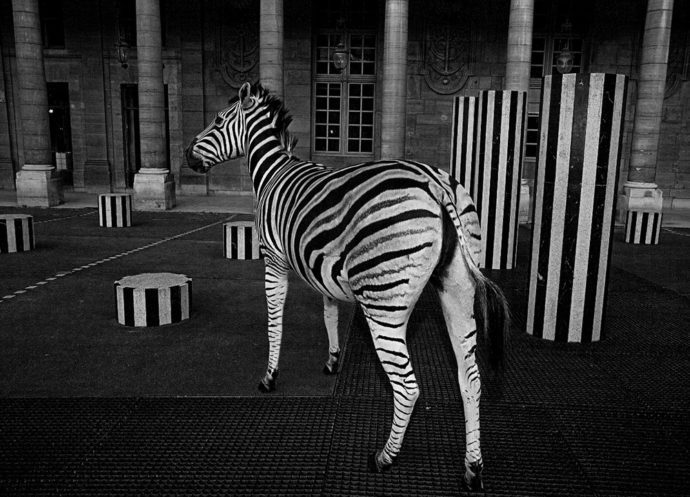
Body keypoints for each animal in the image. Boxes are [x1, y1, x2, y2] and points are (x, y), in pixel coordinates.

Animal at [185, 82, 509, 491]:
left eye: (217, 120)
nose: (186, 155)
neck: (273, 172)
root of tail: (435, 184)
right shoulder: (322, 268)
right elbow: (329, 313)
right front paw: (334, 359)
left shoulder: (273, 258)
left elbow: (274, 319)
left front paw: (269, 376)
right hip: (458, 290)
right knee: (471, 380)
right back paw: (472, 467)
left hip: (383, 301)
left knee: (407, 386)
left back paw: (385, 457)